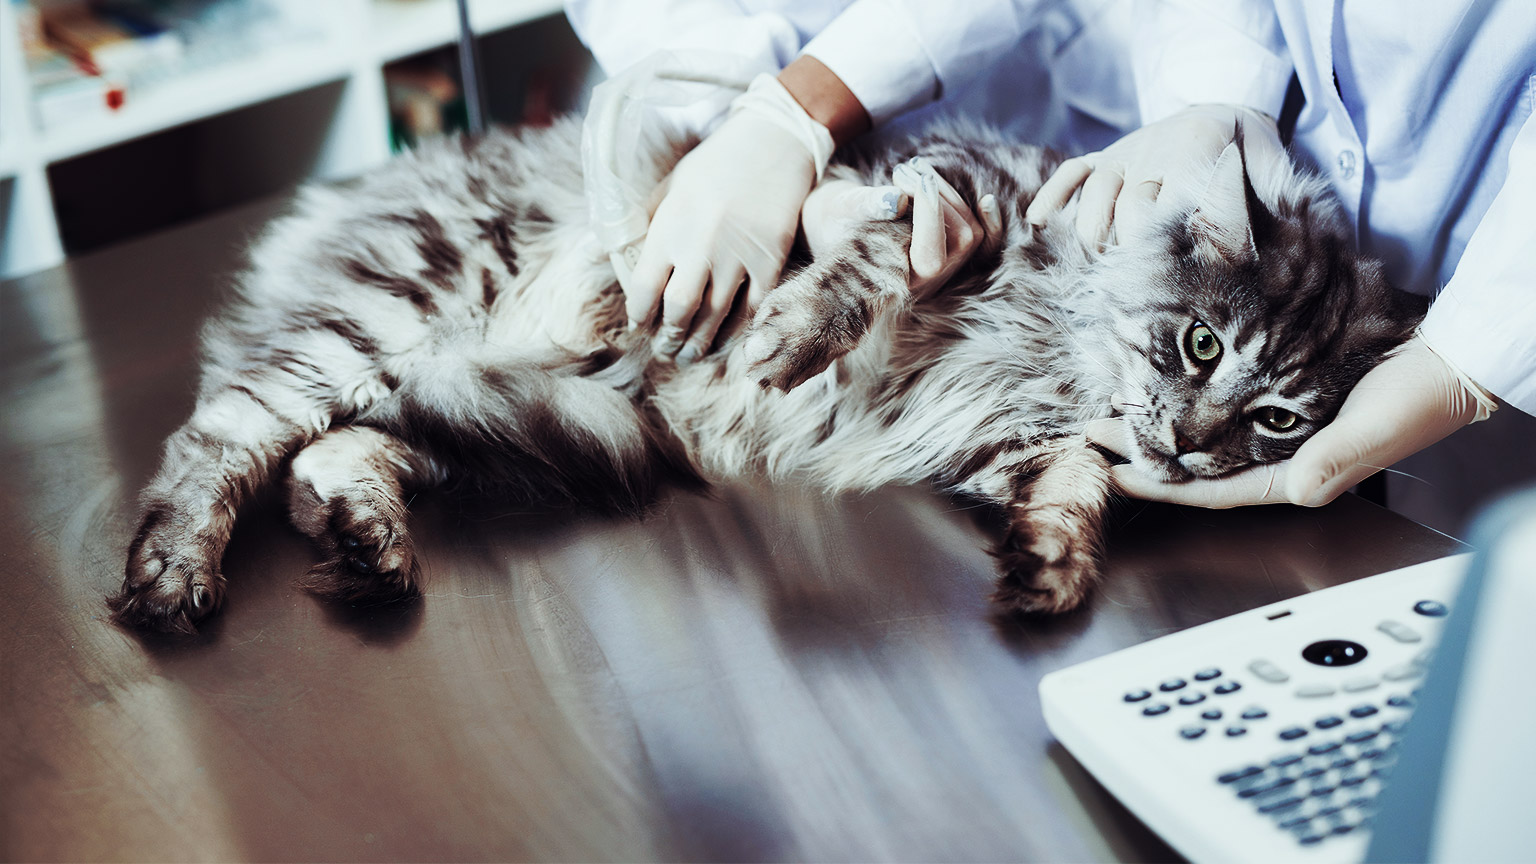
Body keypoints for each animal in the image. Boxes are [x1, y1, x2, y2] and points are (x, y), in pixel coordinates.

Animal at [111, 117, 1413, 633]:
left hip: (471, 409)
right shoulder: (948, 193)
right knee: (222, 437)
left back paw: (370, 547)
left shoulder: (1017, 451)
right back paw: (172, 576)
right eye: (1203, 345)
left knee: (331, 457)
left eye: (1280, 417)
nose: (1192, 444)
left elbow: (1074, 493)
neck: (1063, 366)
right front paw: (786, 336)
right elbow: (859, 266)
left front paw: (1050, 568)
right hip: (389, 319)